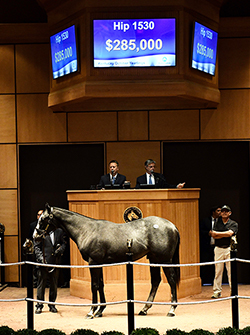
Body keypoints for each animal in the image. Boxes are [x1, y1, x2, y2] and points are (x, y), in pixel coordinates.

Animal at [35, 203, 180, 318]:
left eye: (43, 219)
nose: (35, 236)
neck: (86, 230)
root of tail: (172, 226)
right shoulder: (99, 263)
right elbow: (101, 285)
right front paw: (100, 310)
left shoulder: (93, 263)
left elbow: (94, 286)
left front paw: (91, 311)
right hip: (154, 259)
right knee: (156, 281)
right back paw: (144, 309)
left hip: (165, 260)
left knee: (171, 281)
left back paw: (171, 309)